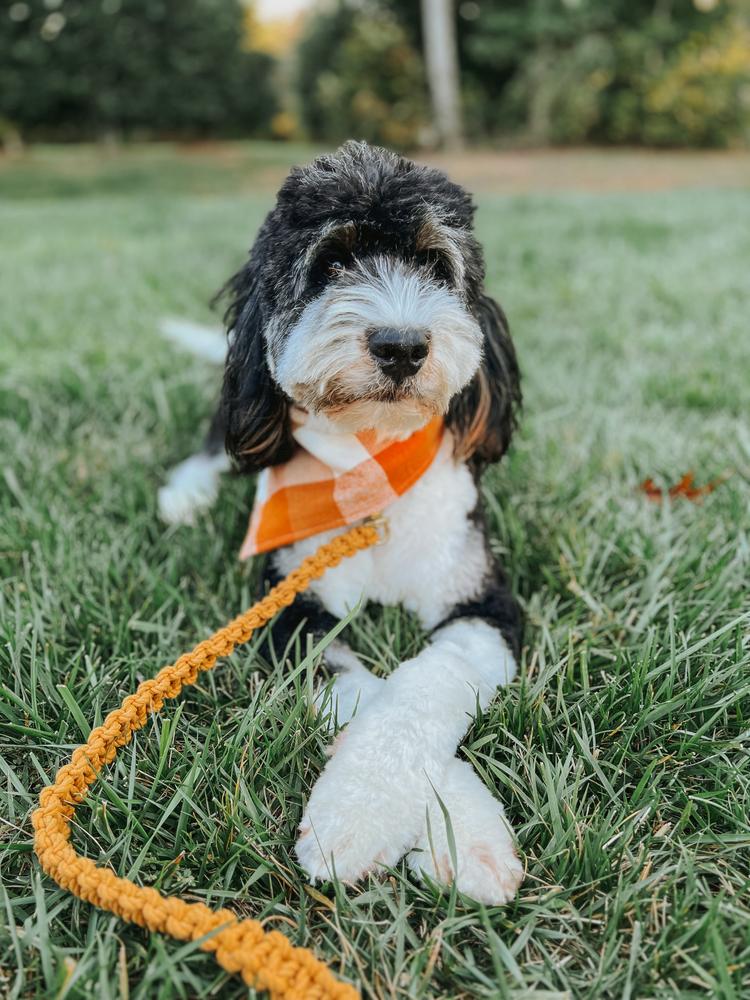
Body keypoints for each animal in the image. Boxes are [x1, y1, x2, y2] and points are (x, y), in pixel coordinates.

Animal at [159, 143, 524, 908]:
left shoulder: (485, 602)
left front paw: (456, 834)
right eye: (330, 265)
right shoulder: (292, 606)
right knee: (213, 441)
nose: (401, 344)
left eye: (437, 266)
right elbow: (363, 688)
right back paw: (186, 494)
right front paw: (366, 813)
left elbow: (425, 681)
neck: (372, 464)